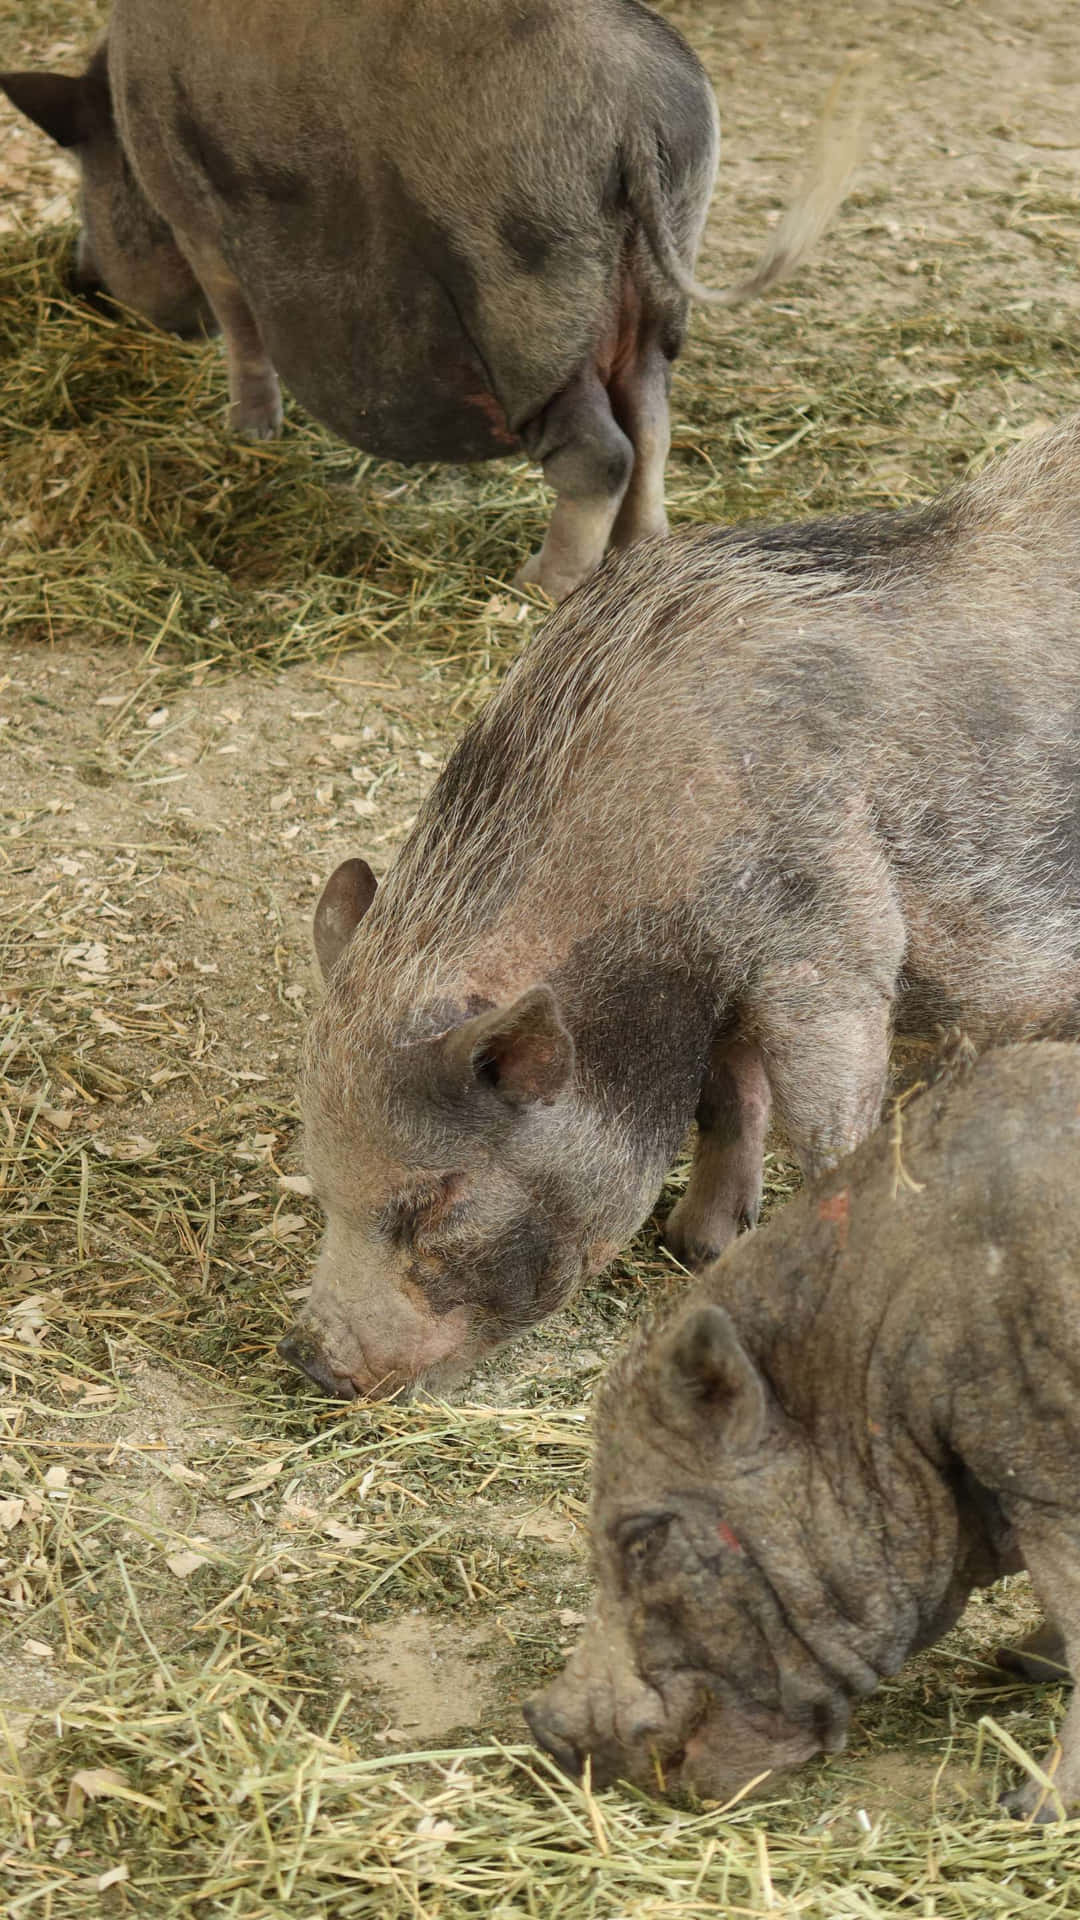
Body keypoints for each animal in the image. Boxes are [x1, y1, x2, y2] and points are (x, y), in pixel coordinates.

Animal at [0, 1, 857, 599]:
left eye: (88, 178)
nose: (78, 276)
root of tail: (634, 116)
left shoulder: (194, 214)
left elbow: (241, 328)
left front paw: (247, 433)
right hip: (656, 276)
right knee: (650, 422)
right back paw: (640, 553)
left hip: (524, 292)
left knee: (599, 453)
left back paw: (534, 586)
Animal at [278, 412, 1080, 1405]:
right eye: (320, 1181)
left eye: (439, 1198)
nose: (307, 1356)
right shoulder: (717, 989)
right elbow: (728, 1103)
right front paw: (698, 1247)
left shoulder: (831, 944)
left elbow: (827, 1129)